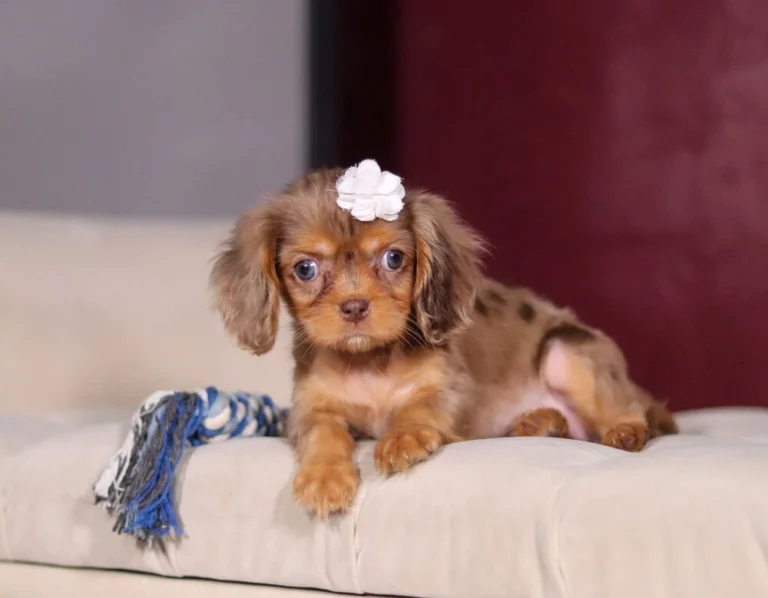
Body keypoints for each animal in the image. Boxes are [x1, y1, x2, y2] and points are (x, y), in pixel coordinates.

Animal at [208, 169, 672, 520]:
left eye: (394, 258)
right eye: (305, 268)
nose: (354, 306)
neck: (368, 361)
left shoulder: (448, 390)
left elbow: (418, 407)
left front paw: (402, 438)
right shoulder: (309, 408)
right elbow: (325, 432)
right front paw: (325, 477)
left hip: (565, 352)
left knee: (628, 411)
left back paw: (623, 429)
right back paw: (539, 423)